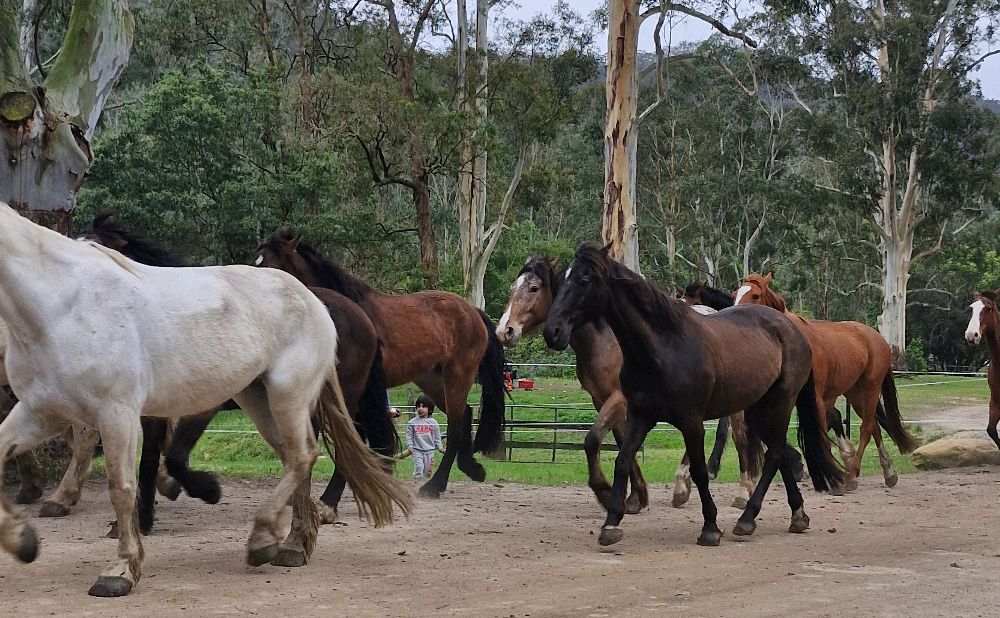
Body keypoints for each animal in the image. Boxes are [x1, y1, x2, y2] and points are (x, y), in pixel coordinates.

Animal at [80, 213, 400, 527]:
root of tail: (361, 317)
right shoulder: (151, 411)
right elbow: (148, 461)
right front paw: (143, 516)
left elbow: (172, 458)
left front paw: (204, 490)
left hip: (342, 397)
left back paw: (326, 505)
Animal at [255, 229, 506, 499]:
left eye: (271, 268)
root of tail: (472, 311)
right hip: (433, 380)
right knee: (465, 414)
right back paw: (470, 469)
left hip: (457, 377)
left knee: (457, 424)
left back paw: (434, 485)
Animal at [543, 244, 843, 547]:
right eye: (562, 279)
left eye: (584, 280)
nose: (552, 331)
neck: (663, 348)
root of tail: (793, 329)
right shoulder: (640, 416)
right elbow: (622, 461)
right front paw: (612, 523)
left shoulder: (691, 422)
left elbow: (699, 471)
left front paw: (710, 527)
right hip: (756, 409)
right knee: (777, 452)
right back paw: (797, 515)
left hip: (779, 403)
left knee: (773, 454)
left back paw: (747, 519)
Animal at [735, 273, 919, 488]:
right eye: (735, 294)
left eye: (755, 295)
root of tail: (877, 338)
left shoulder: (817, 400)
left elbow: (822, 437)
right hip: (855, 395)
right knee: (873, 425)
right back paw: (888, 473)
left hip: (870, 389)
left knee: (866, 428)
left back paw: (852, 473)